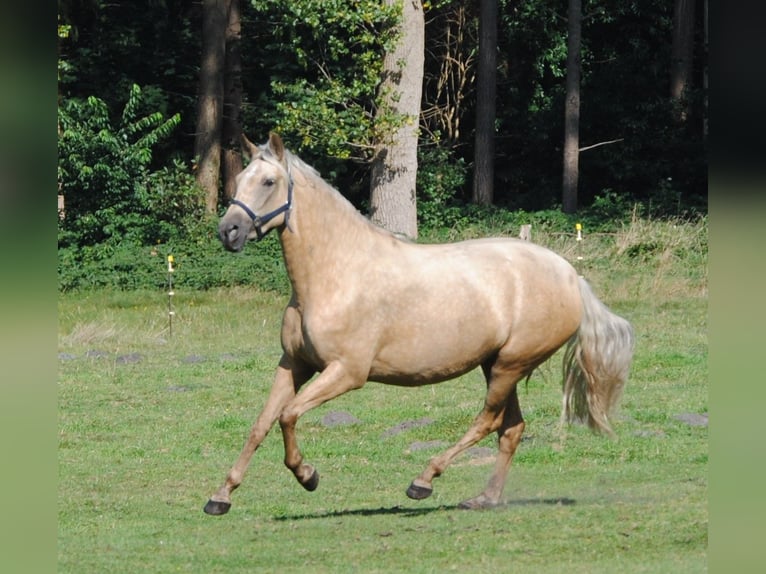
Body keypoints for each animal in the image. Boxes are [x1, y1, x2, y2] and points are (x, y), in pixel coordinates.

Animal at [207, 135, 640, 516]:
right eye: (240, 178)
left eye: (269, 181)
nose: (228, 231)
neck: (336, 275)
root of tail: (571, 276)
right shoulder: (294, 364)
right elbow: (261, 424)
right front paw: (220, 497)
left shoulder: (347, 372)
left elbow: (288, 415)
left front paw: (308, 475)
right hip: (496, 364)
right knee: (511, 428)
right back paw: (484, 499)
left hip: (510, 365)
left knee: (487, 421)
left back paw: (423, 481)